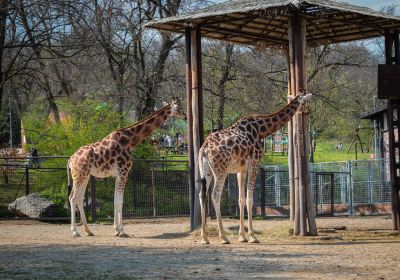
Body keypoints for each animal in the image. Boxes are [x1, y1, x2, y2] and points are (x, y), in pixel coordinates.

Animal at [67, 97, 186, 237]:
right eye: (178, 107)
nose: (185, 116)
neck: (131, 140)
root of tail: (70, 160)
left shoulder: (118, 175)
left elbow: (115, 201)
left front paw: (116, 230)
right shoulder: (124, 173)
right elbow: (120, 201)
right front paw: (122, 231)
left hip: (85, 176)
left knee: (79, 199)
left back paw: (88, 230)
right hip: (79, 176)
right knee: (73, 198)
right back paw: (75, 232)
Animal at [198, 93, 310, 244]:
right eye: (306, 102)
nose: (308, 111)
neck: (261, 130)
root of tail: (204, 149)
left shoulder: (241, 170)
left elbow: (240, 199)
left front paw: (242, 237)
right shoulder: (254, 164)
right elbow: (250, 199)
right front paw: (252, 236)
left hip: (206, 172)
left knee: (202, 195)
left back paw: (204, 238)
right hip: (220, 171)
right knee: (215, 195)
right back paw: (224, 237)